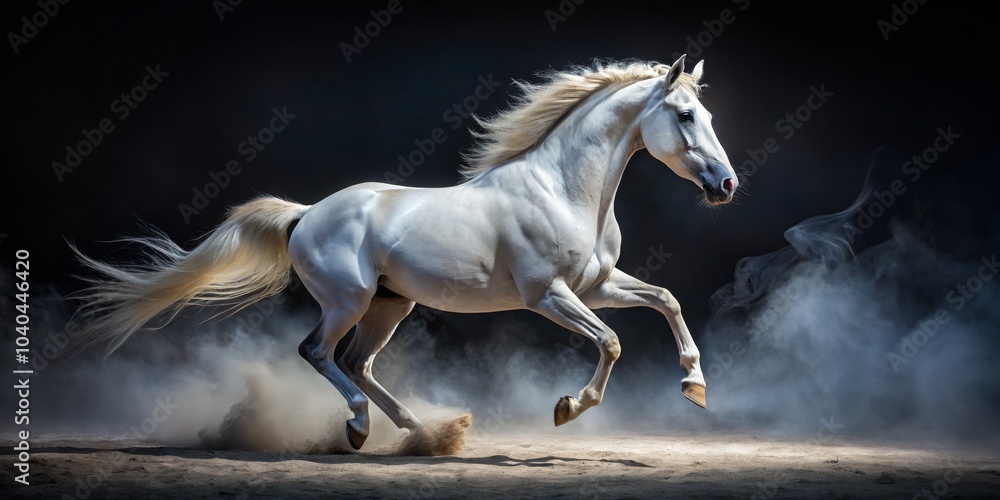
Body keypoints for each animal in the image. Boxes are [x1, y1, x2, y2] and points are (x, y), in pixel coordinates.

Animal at [71, 55, 738, 450]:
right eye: (684, 115)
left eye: (707, 112)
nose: (726, 185)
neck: (563, 189)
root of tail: (305, 214)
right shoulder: (548, 295)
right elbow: (612, 341)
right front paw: (569, 408)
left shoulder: (597, 286)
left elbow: (666, 299)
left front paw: (696, 385)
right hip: (348, 301)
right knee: (319, 353)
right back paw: (362, 428)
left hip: (391, 305)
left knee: (359, 363)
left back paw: (425, 432)